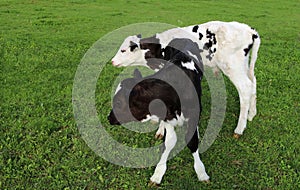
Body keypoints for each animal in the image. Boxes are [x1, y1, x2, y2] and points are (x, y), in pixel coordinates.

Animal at [108, 38, 209, 186]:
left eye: (118, 103)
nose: (109, 118)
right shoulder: (167, 116)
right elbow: (170, 142)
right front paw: (158, 173)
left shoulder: (194, 112)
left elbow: (192, 141)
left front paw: (201, 172)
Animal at [111, 21, 262, 138]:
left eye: (123, 50)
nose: (112, 61)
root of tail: (248, 29)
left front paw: (160, 130)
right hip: (243, 66)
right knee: (253, 83)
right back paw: (251, 114)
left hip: (232, 66)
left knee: (245, 88)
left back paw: (239, 129)